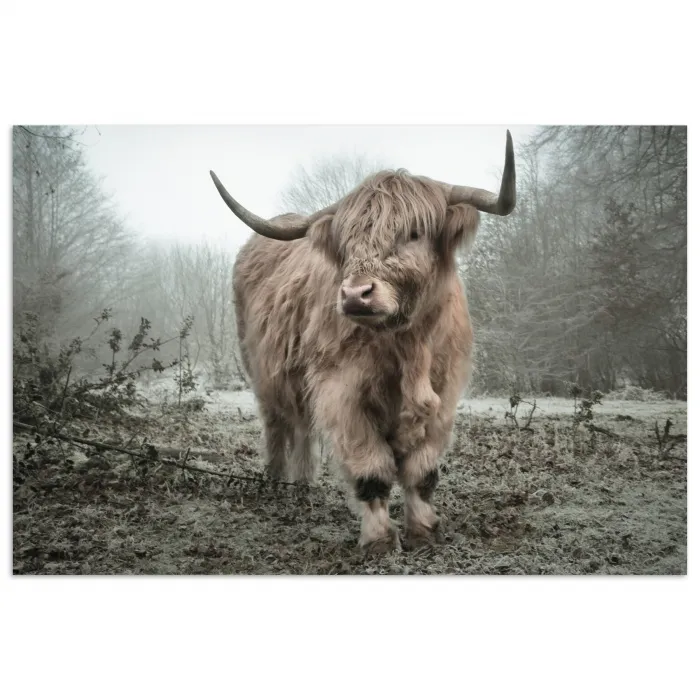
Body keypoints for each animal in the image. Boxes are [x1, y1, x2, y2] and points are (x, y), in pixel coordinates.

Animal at [210, 131, 516, 554]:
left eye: (414, 233)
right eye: (347, 241)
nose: (356, 295)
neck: (407, 347)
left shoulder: (444, 393)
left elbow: (422, 472)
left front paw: (423, 531)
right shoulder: (342, 392)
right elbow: (372, 470)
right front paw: (379, 540)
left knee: (302, 427)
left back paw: (302, 485)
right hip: (261, 371)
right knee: (277, 425)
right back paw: (276, 482)